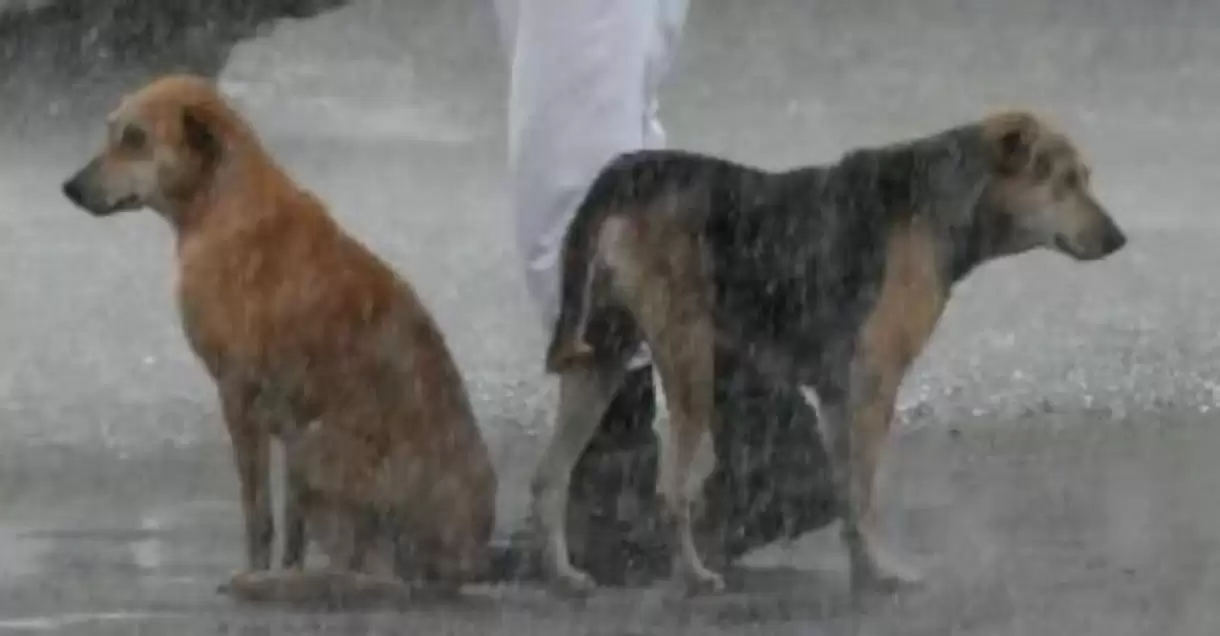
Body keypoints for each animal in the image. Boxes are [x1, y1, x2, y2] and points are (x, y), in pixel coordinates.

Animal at [539, 108, 1127, 595]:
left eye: (1085, 177)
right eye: (1064, 180)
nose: (1119, 239)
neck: (943, 201)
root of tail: (629, 171)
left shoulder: (838, 393)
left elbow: (847, 493)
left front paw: (863, 568)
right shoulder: (874, 383)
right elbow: (864, 493)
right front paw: (883, 572)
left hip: (601, 357)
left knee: (551, 475)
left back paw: (564, 574)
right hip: (688, 361)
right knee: (669, 490)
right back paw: (694, 576)